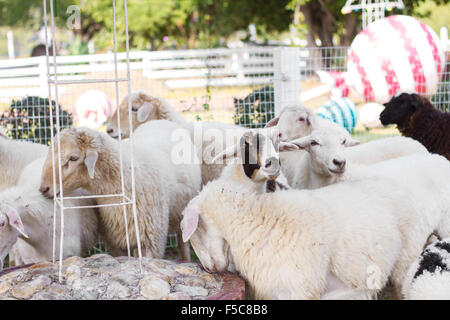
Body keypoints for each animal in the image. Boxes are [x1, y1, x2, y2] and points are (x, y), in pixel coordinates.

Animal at [38, 119, 200, 262]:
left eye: (73, 158)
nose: (43, 189)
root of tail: (160, 121)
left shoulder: (150, 242)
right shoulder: (115, 242)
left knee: (183, 241)